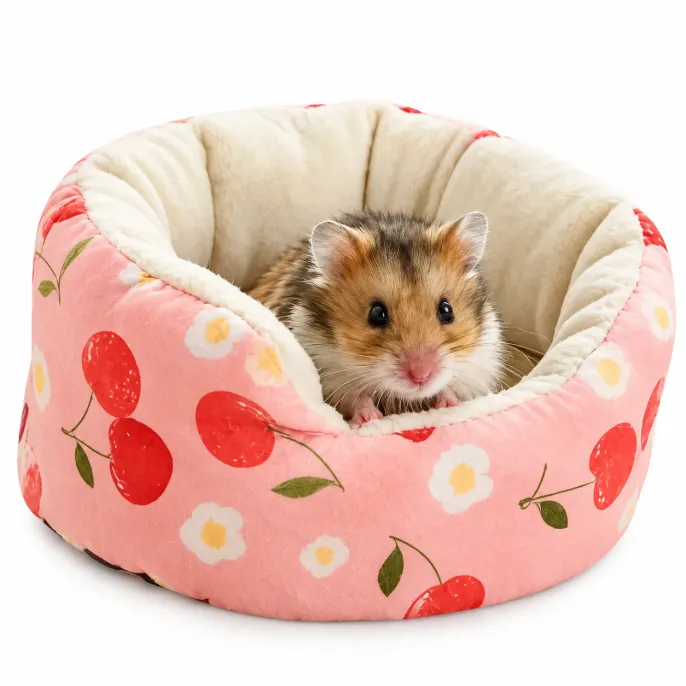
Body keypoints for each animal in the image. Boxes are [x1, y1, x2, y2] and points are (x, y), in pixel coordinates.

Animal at [249, 210, 504, 427]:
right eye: (377, 314)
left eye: (446, 310)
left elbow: (453, 388)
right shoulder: (329, 374)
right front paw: (370, 418)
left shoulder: (479, 365)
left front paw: (449, 405)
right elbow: (356, 397)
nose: (421, 377)